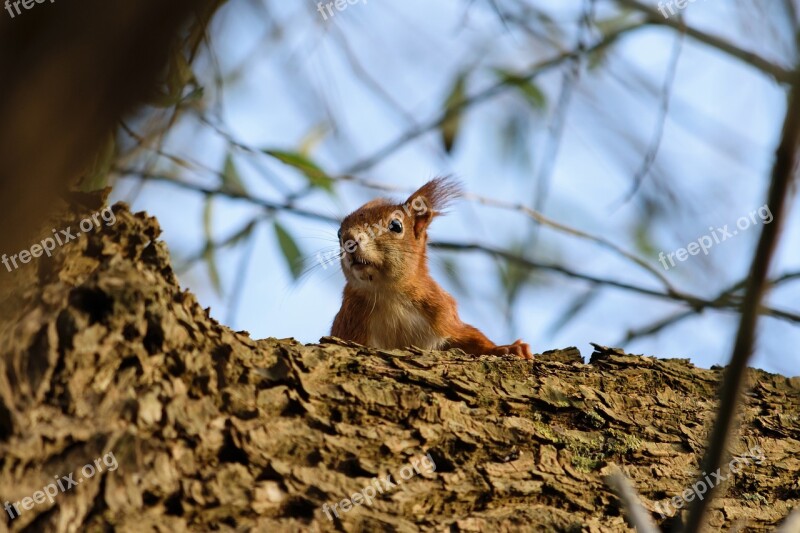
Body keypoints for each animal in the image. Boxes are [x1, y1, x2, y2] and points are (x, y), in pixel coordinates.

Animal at [328, 177, 536, 360]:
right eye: (338, 233)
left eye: (396, 225)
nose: (349, 240)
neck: (388, 295)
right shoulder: (349, 322)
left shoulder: (441, 312)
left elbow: (470, 337)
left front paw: (507, 348)